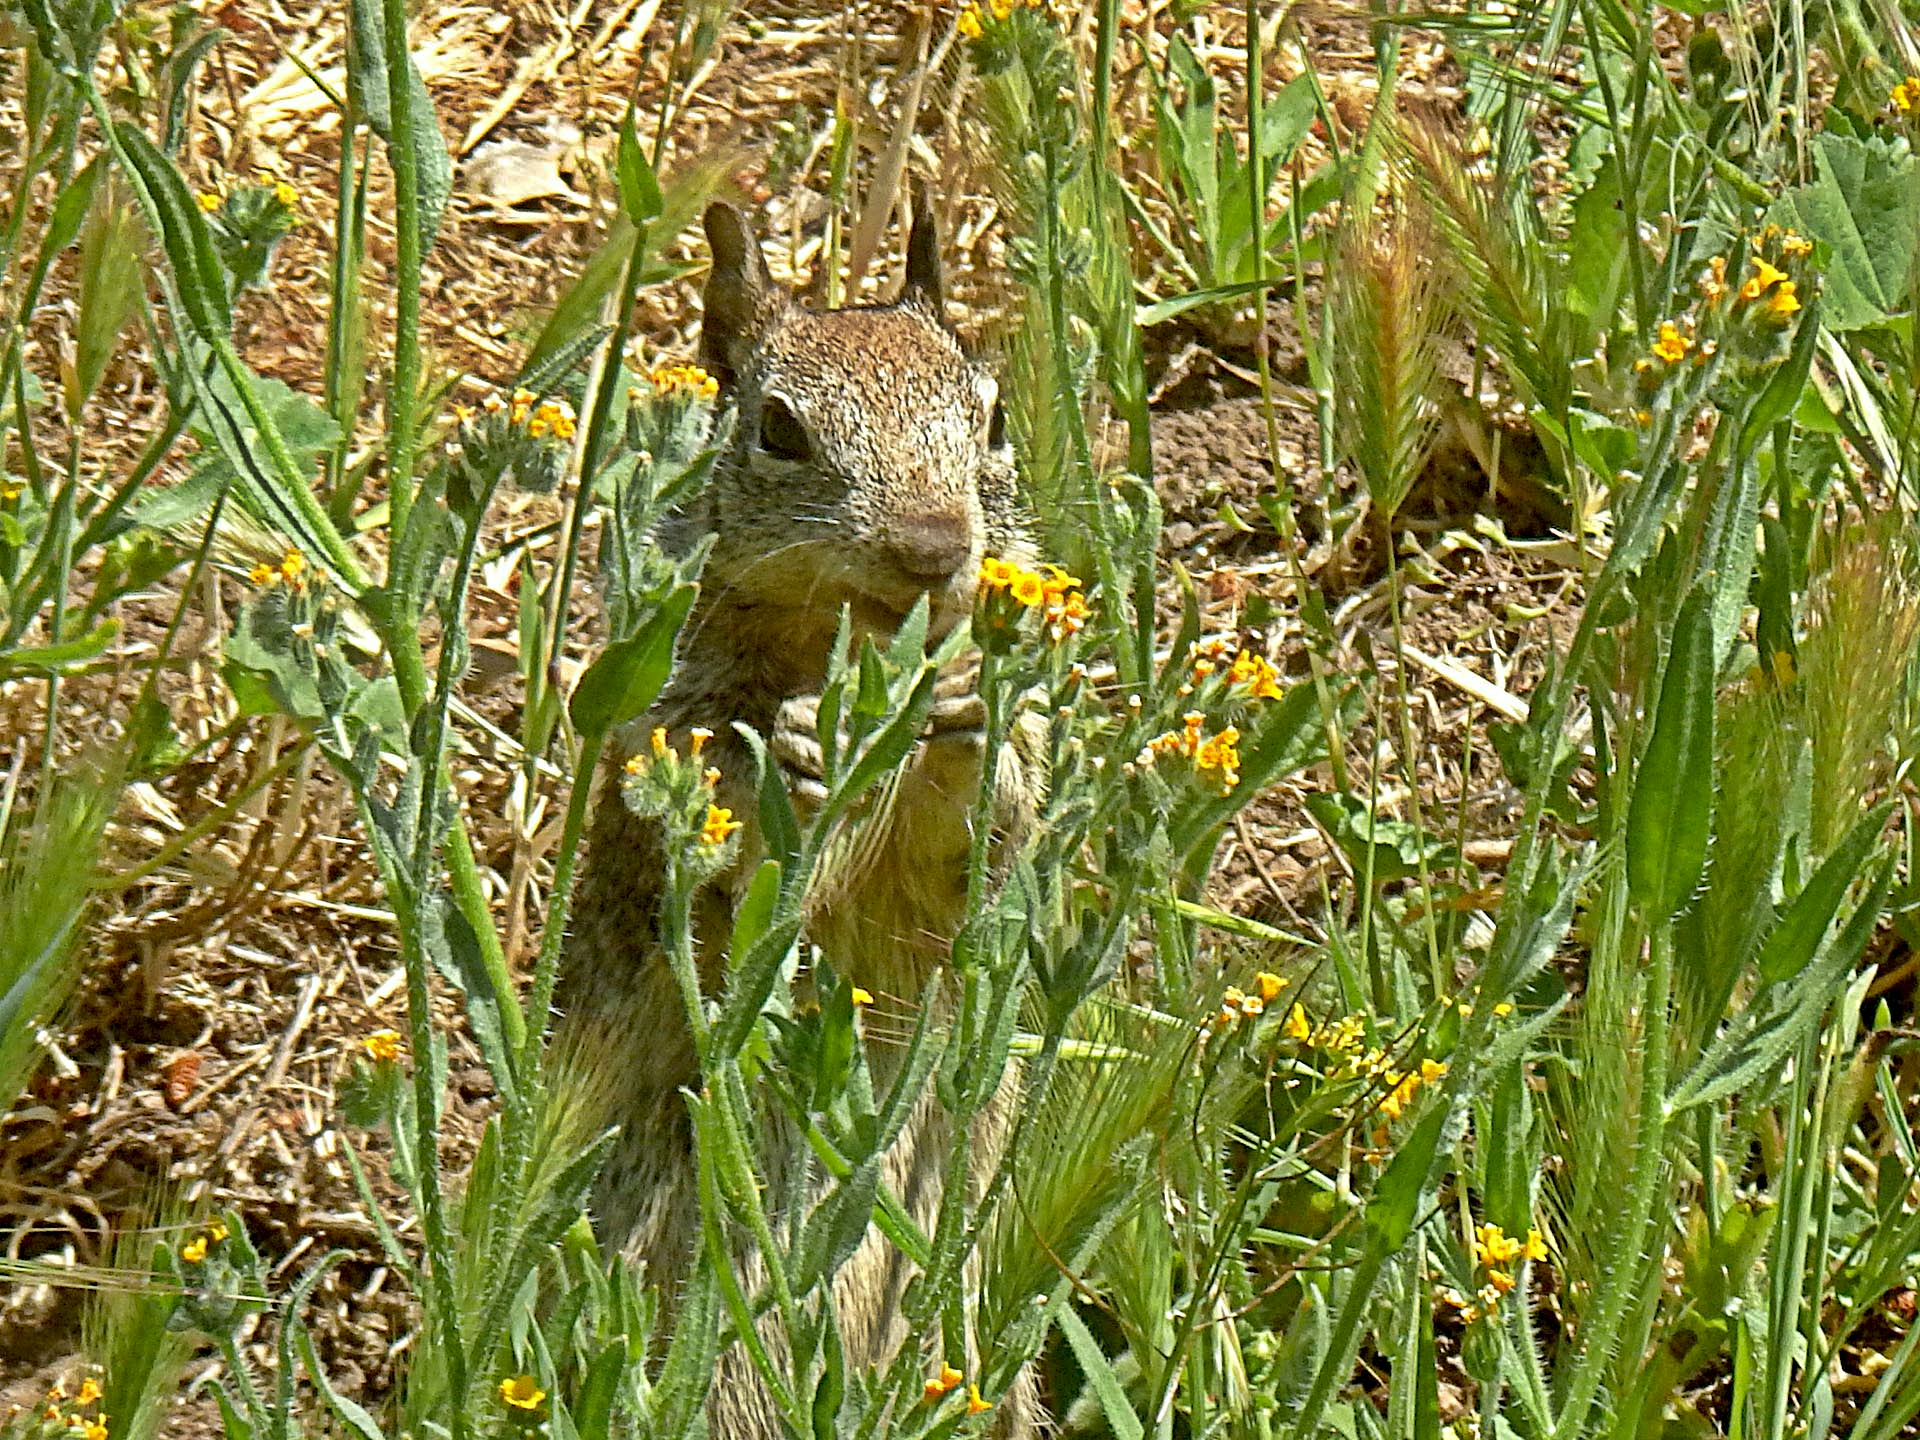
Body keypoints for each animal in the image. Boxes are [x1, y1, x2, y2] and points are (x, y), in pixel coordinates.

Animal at [556, 194, 1044, 1440]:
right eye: (778, 428)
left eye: (996, 415)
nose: (933, 546)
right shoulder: (666, 724)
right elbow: (704, 861)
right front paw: (787, 763)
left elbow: (980, 858)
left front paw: (960, 725)